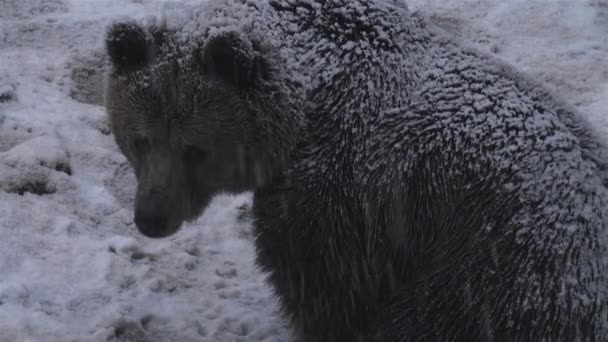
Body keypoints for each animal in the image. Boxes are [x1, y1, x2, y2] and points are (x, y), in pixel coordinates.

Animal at [104, 0, 608, 340]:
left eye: (195, 149)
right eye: (140, 139)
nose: (151, 218)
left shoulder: (345, 200)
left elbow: (327, 290)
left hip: (501, 273)